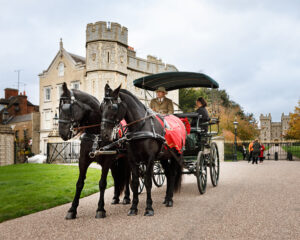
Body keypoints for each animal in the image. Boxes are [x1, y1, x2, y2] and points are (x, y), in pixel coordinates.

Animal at [57, 83, 130, 219]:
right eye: (59, 108)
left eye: (67, 108)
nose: (62, 133)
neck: (96, 133)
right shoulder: (83, 160)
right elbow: (79, 183)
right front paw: (72, 209)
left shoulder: (107, 160)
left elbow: (102, 183)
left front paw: (100, 209)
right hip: (115, 162)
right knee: (116, 177)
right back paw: (116, 198)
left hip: (126, 159)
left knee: (128, 177)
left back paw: (127, 198)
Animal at [99, 84, 183, 216]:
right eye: (101, 107)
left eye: (113, 107)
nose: (104, 134)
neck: (141, 127)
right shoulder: (132, 159)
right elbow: (134, 182)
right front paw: (133, 207)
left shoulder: (150, 159)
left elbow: (148, 182)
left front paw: (149, 208)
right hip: (163, 157)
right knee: (169, 174)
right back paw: (166, 198)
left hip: (175, 155)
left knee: (173, 174)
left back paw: (170, 199)